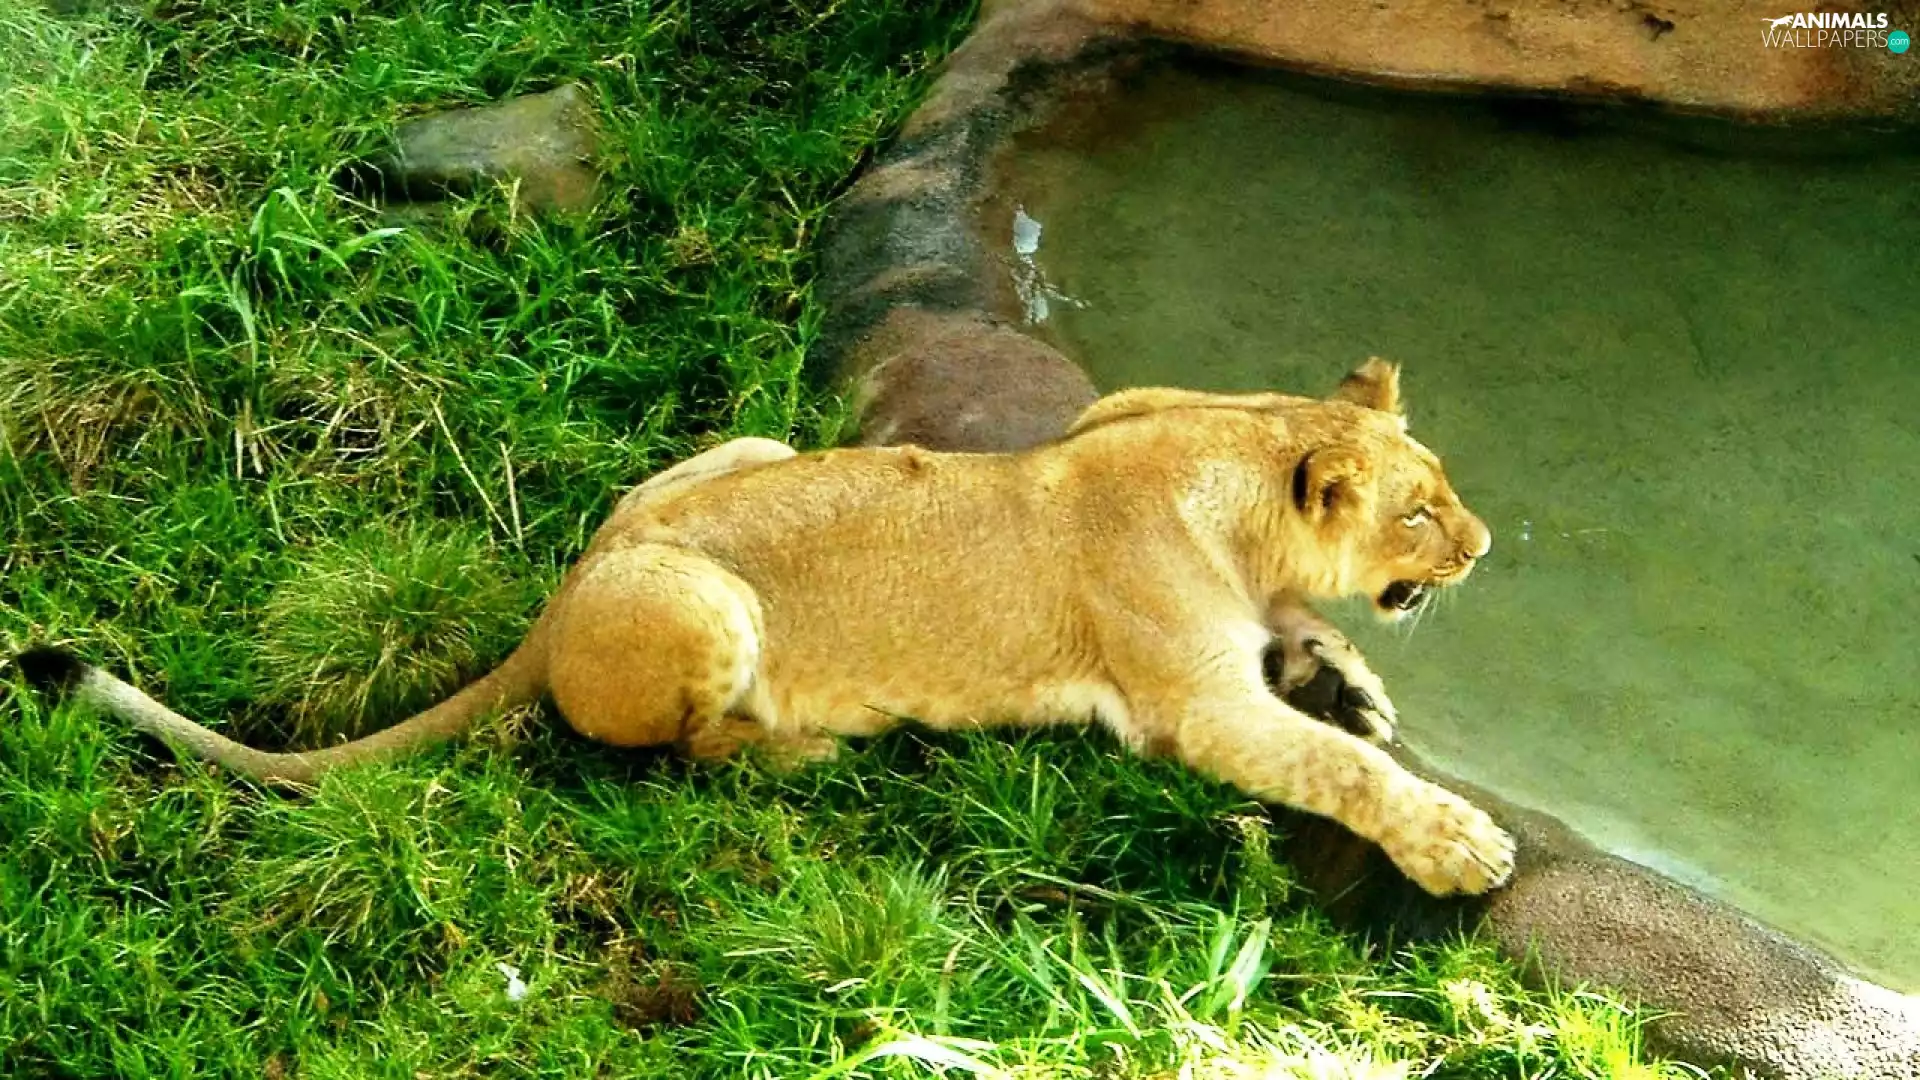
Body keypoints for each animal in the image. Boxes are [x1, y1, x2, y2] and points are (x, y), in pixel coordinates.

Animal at [15, 358, 1512, 897]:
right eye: (1422, 514)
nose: (1488, 547)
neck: (1234, 458)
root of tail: (563, 594)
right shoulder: (1188, 707)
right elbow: (1342, 772)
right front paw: (1460, 843)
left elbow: (1321, 668)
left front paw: (1352, 677)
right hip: (699, 600)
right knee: (667, 758)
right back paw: (805, 752)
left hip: (748, 447)